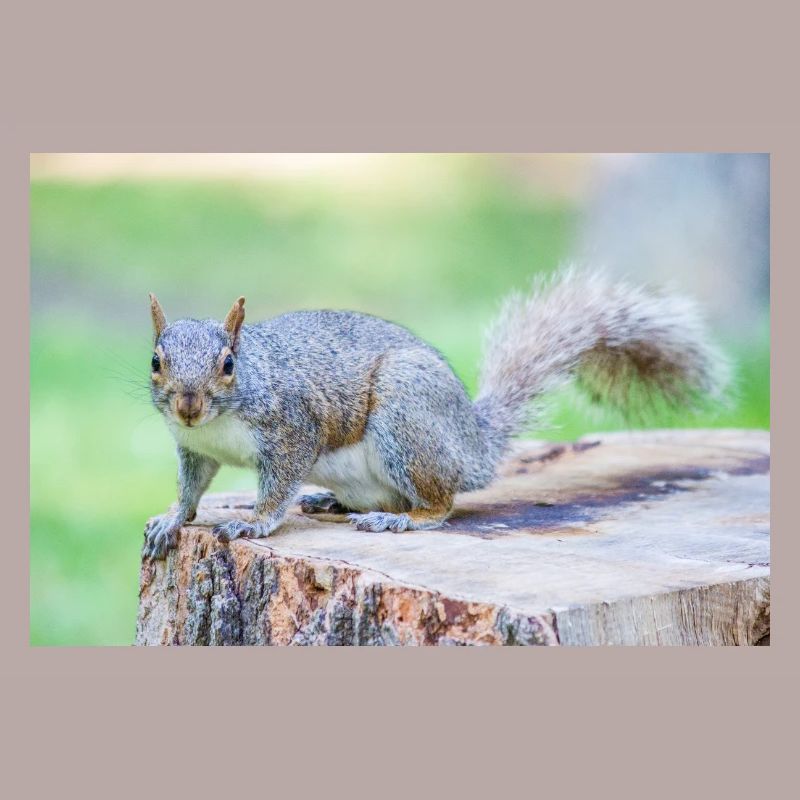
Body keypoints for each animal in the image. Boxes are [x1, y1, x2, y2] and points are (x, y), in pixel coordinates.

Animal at [143, 269, 729, 559]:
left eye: (228, 364)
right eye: (155, 360)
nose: (188, 405)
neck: (219, 423)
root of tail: (473, 444)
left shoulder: (293, 430)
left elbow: (277, 484)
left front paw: (254, 522)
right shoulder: (193, 449)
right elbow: (192, 489)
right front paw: (172, 520)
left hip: (407, 418)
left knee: (441, 504)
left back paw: (400, 518)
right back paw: (331, 501)